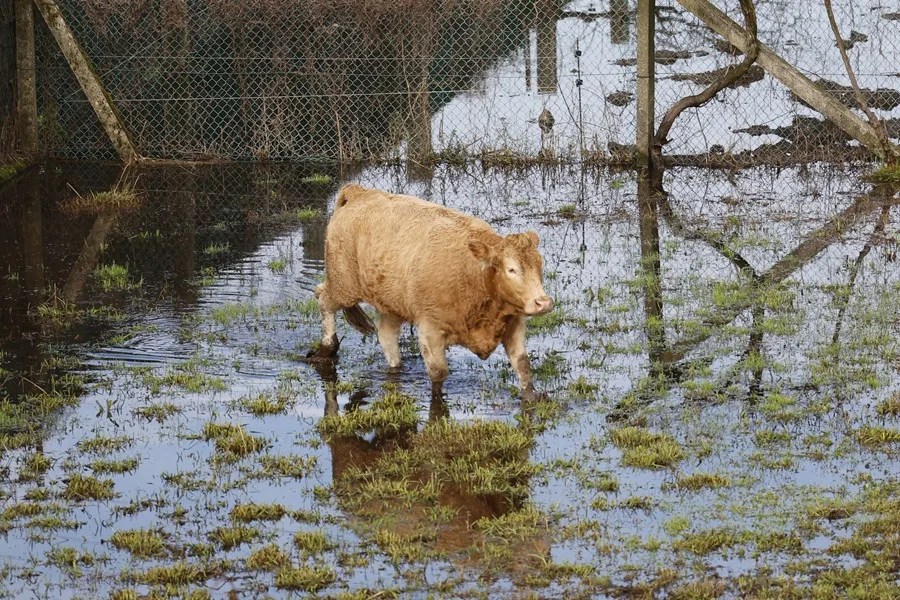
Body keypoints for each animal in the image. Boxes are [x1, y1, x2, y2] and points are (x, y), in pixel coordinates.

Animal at [308, 184, 553, 400]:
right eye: (511, 269)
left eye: (540, 265)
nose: (543, 302)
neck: (472, 273)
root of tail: (360, 193)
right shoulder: (430, 329)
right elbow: (438, 373)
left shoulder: (514, 323)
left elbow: (523, 366)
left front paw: (531, 398)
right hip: (344, 284)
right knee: (323, 298)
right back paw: (327, 349)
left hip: (390, 302)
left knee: (386, 334)